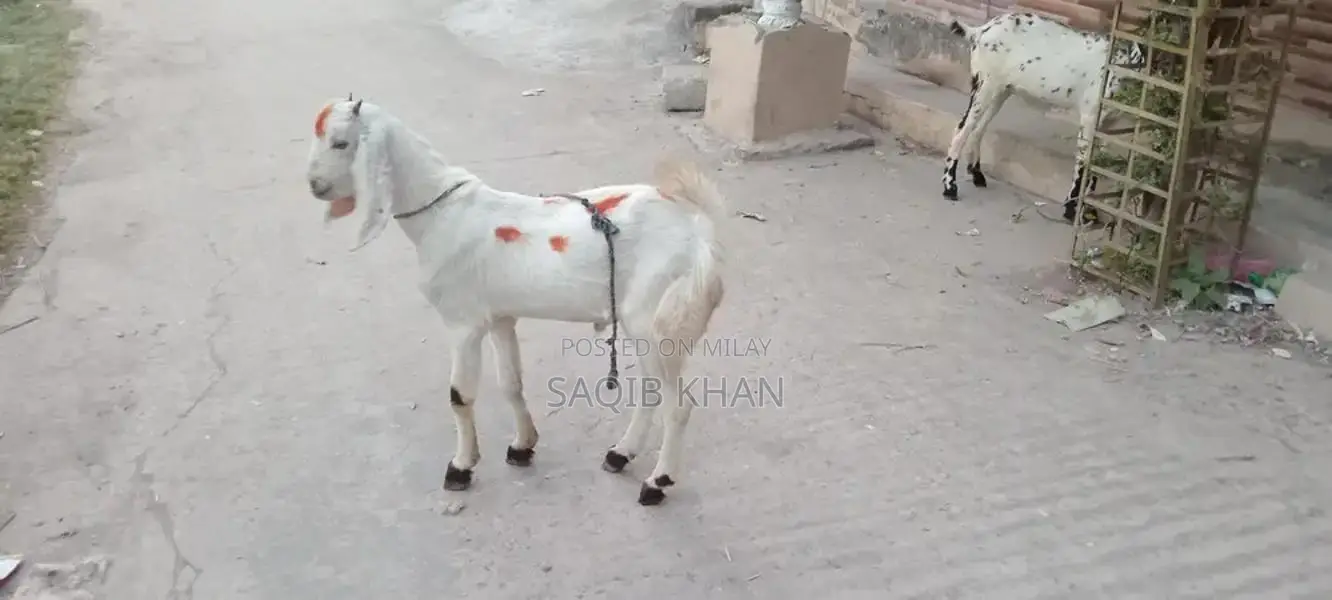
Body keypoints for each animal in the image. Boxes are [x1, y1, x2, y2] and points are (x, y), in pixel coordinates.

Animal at [304, 97, 727, 506]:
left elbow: (460, 396)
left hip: (657, 321)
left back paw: (658, 482)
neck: (443, 213)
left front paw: (460, 468)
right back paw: (620, 454)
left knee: (678, 404)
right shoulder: (500, 318)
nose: (314, 185)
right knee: (651, 391)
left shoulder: (463, 322)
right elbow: (510, 383)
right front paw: (523, 446)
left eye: (340, 143)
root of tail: (698, 230)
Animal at [942, 12, 1143, 222]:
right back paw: (950, 187)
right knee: (962, 129)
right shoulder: (1090, 116)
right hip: (984, 85)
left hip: (1000, 91)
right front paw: (1071, 210)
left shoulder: (1109, 122)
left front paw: (1088, 211)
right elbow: (1083, 162)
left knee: (978, 129)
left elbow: (1097, 164)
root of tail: (980, 31)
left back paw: (977, 175)